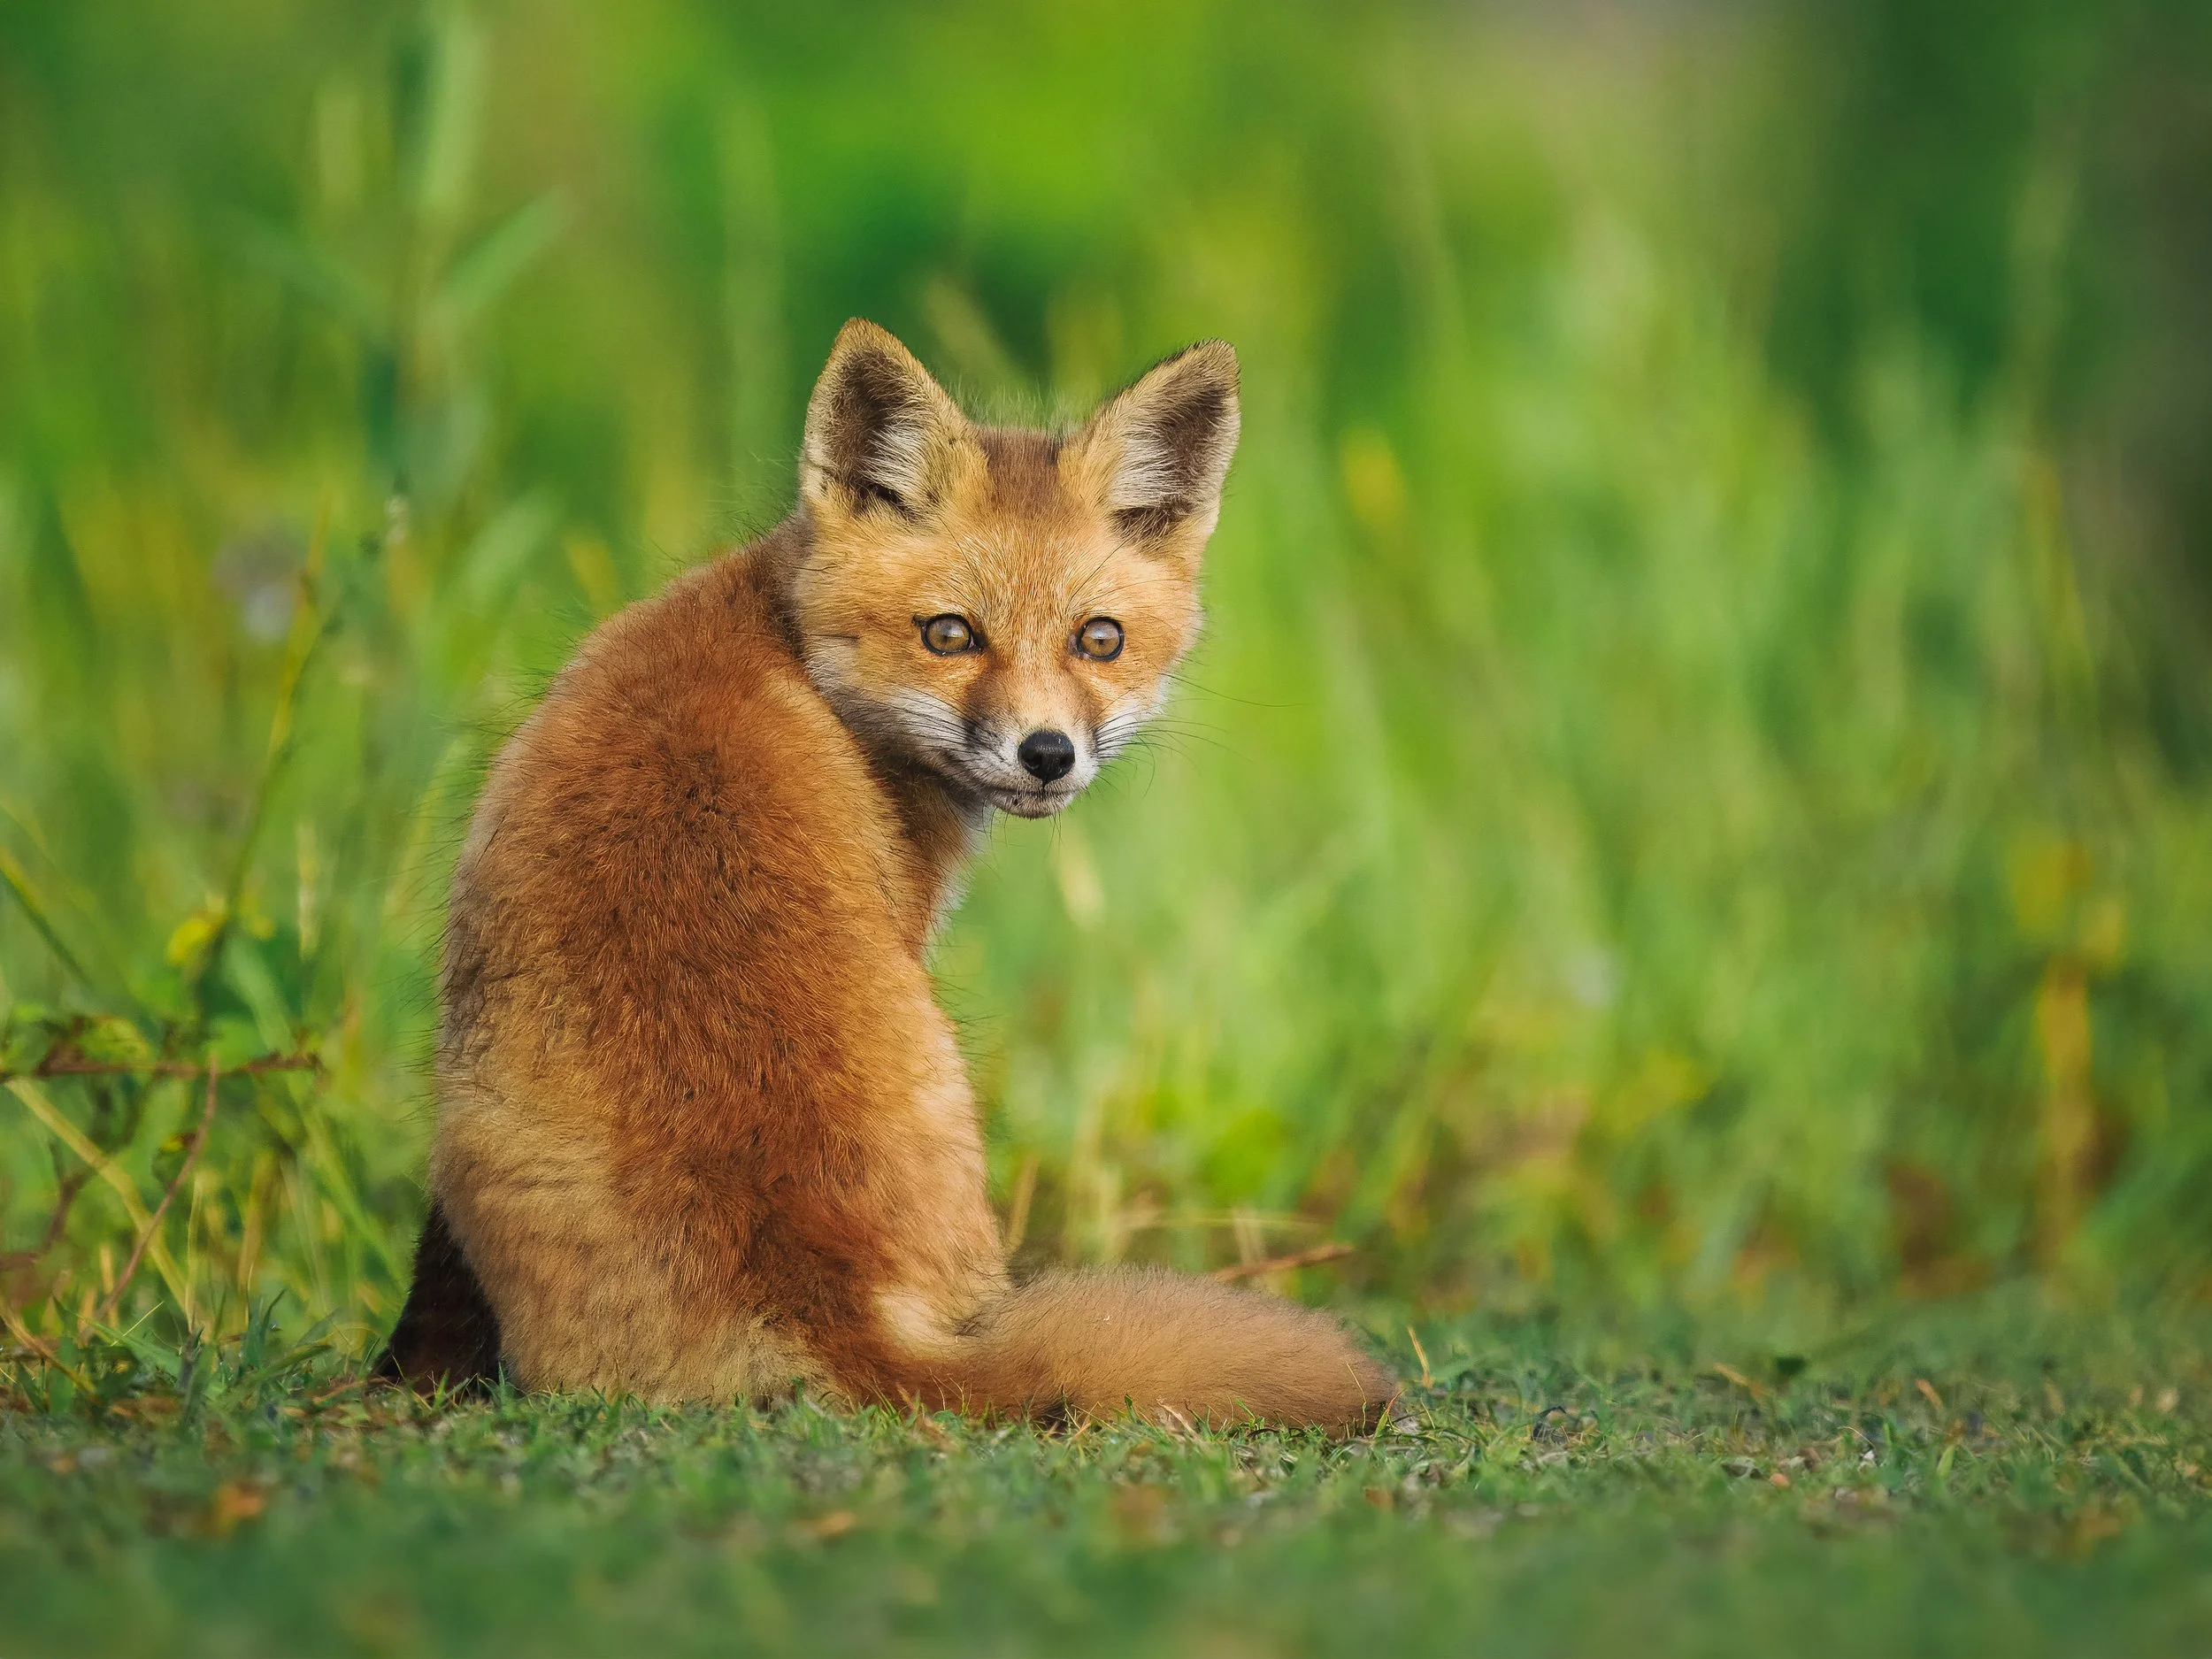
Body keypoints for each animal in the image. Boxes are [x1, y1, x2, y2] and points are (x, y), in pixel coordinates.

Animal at [375, 319, 1391, 1432]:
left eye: (1098, 640)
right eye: (950, 634)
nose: (1047, 755)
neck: (787, 638)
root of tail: (829, 1303)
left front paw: (405, 1377)